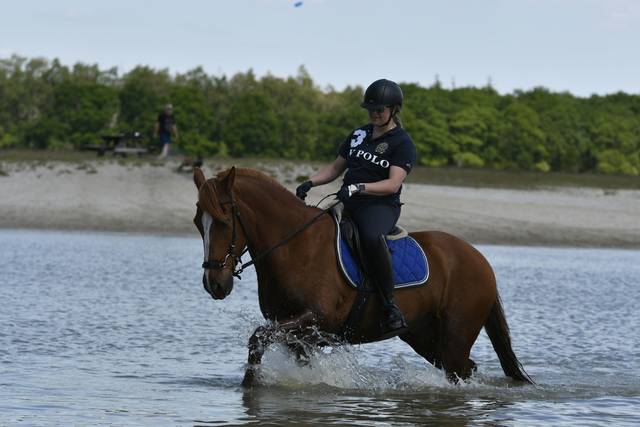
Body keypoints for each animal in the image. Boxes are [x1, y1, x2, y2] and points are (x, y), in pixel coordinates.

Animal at [192, 167, 532, 388]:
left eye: (223, 223)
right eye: (198, 222)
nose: (214, 284)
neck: (294, 245)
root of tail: (480, 259)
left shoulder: (315, 320)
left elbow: (257, 338)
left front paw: (250, 385)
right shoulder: (299, 334)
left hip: (455, 338)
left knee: (460, 369)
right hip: (424, 336)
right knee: (465, 369)